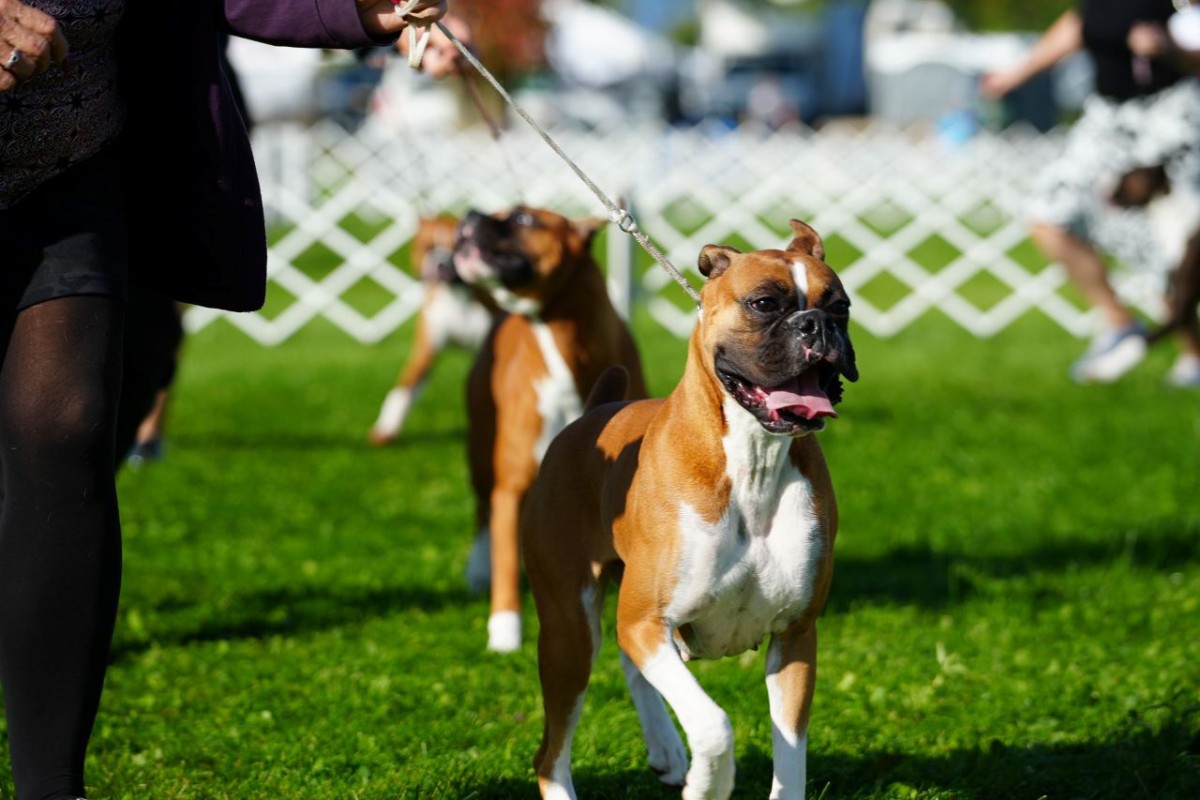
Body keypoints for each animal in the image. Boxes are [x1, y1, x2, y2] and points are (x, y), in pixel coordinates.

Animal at [364, 215, 496, 448]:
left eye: (457, 248)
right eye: (427, 247)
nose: (440, 262)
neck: (457, 297)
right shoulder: (425, 352)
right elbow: (402, 390)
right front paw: (386, 430)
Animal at [451, 206, 648, 657]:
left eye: (523, 218)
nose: (470, 213)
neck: (568, 351)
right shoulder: (512, 486)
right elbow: (507, 559)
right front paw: (505, 631)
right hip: (480, 454)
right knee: (482, 514)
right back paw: (477, 571)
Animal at [518, 219, 854, 800]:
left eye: (841, 306)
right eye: (764, 303)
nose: (817, 325)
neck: (752, 460)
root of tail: (592, 416)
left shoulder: (795, 637)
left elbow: (791, 756)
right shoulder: (646, 622)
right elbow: (715, 725)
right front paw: (708, 785)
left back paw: (667, 750)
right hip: (569, 638)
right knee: (550, 752)